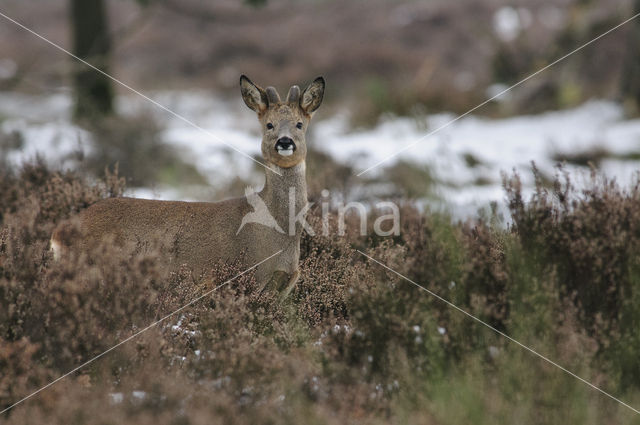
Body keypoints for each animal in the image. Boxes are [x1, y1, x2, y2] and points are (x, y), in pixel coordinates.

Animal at [51, 76, 324, 300]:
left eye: (299, 124)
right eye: (269, 125)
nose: (285, 142)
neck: (276, 233)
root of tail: (57, 234)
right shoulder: (249, 278)